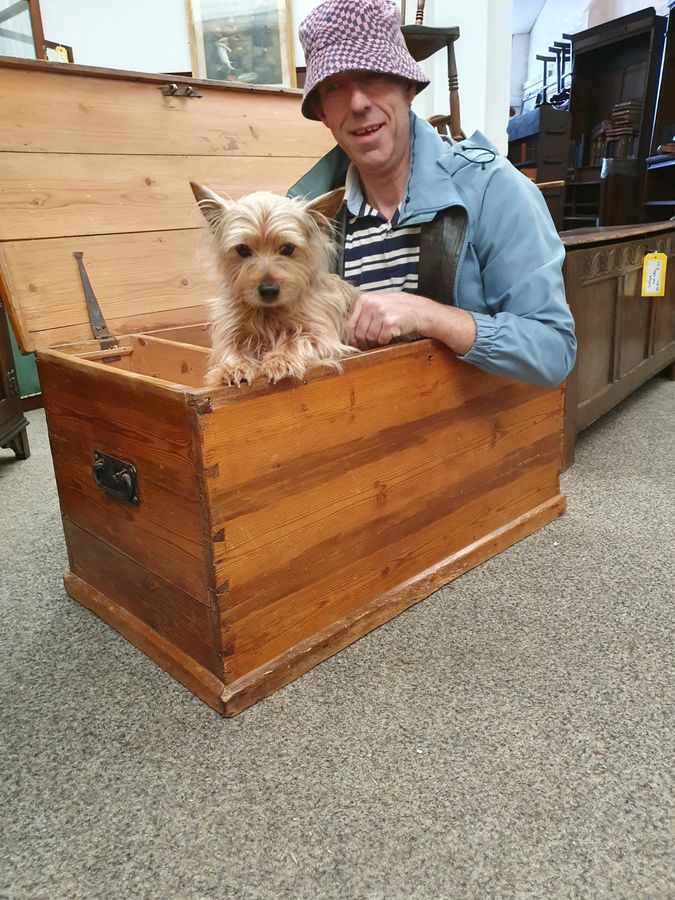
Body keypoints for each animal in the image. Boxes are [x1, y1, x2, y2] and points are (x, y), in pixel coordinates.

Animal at [190, 183, 360, 386]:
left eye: (287, 248)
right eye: (242, 249)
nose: (268, 290)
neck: (268, 313)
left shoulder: (322, 334)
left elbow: (298, 339)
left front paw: (280, 359)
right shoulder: (229, 331)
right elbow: (230, 348)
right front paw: (233, 366)